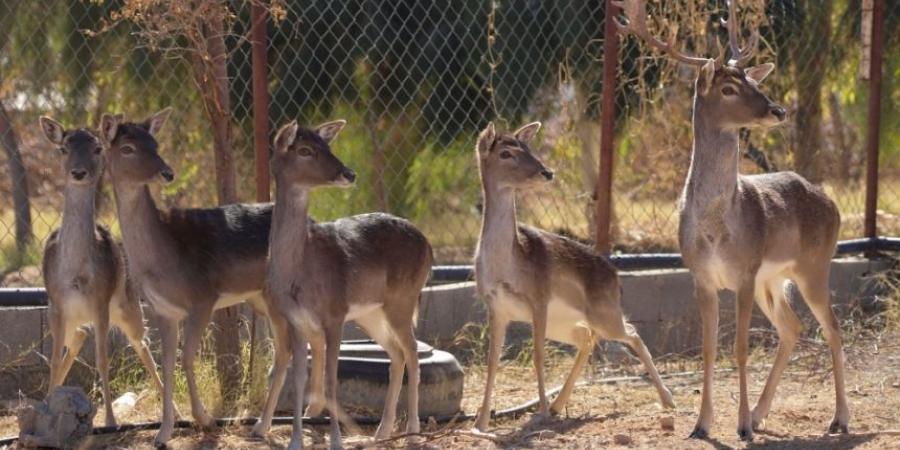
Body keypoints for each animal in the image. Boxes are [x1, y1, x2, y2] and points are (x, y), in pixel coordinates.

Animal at [38, 116, 165, 426]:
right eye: (63, 148)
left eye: (97, 148)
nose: (78, 172)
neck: (75, 276)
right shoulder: (55, 305)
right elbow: (54, 359)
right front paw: (45, 407)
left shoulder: (101, 303)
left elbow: (103, 359)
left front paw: (109, 420)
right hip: (72, 318)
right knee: (78, 336)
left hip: (128, 305)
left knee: (143, 344)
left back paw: (177, 411)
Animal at [97, 110, 314, 446]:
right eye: (128, 148)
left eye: (155, 143)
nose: (167, 173)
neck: (163, 259)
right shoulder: (163, 310)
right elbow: (168, 364)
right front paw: (163, 432)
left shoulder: (203, 298)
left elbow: (188, 358)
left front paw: (205, 419)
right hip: (262, 298)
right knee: (287, 350)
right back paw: (265, 425)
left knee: (295, 347)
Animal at [264, 119, 432, 450]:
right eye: (305, 150)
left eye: (327, 145)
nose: (349, 173)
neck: (298, 273)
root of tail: (429, 246)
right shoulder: (295, 320)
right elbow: (299, 379)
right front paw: (295, 441)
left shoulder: (335, 314)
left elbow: (331, 380)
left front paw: (336, 442)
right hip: (371, 313)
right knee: (396, 354)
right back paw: (382, 431)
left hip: (403, 299)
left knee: (413, 352)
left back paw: (413, 431)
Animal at [472, 121, 676, 430]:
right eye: (506, 153)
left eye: (528, 147)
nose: (546, 172)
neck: (505, 267)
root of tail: (616, 278)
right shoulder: (496, 307)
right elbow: (492, 361)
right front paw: (480, 423)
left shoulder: (539, 298)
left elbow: (538, 356)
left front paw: (541, 411)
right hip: (564, 323)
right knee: (587, 337)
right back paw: (559, 405)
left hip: (604, 314)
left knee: (631, 333)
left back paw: (668, 399)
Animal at [616, 0, 848, 440]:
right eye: (728, 88)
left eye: (751, 81)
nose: (778, 109)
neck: (715, 230)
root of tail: (832, 202)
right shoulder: (702, 276)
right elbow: (709, 349)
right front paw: (702, 424)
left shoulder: (744, 271)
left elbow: (739, 349)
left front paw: (740, 426)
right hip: (772, 279)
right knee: (792, 327)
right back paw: (761, 413)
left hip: (814, 265)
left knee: (832, 327)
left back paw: (839, 419)